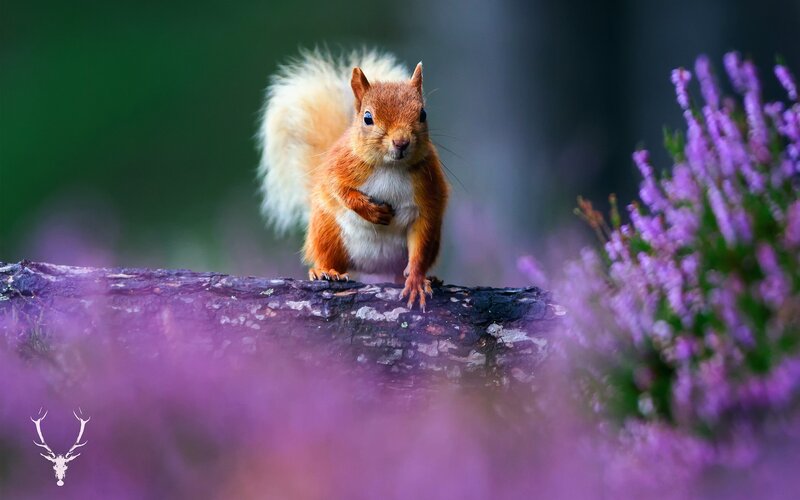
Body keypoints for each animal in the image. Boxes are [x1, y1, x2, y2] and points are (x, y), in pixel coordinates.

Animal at [257, 49, 449, 311]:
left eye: (423, 114)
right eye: (368, 118)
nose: (401, 142)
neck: (390, 167)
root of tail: (373, 267)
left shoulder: (428, 194)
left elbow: (420, 246)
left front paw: (417, 281)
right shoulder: (339, 167)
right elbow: (338, 189)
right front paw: (371, 211)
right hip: (327, 232)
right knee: (327, 256)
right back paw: (325, 271)